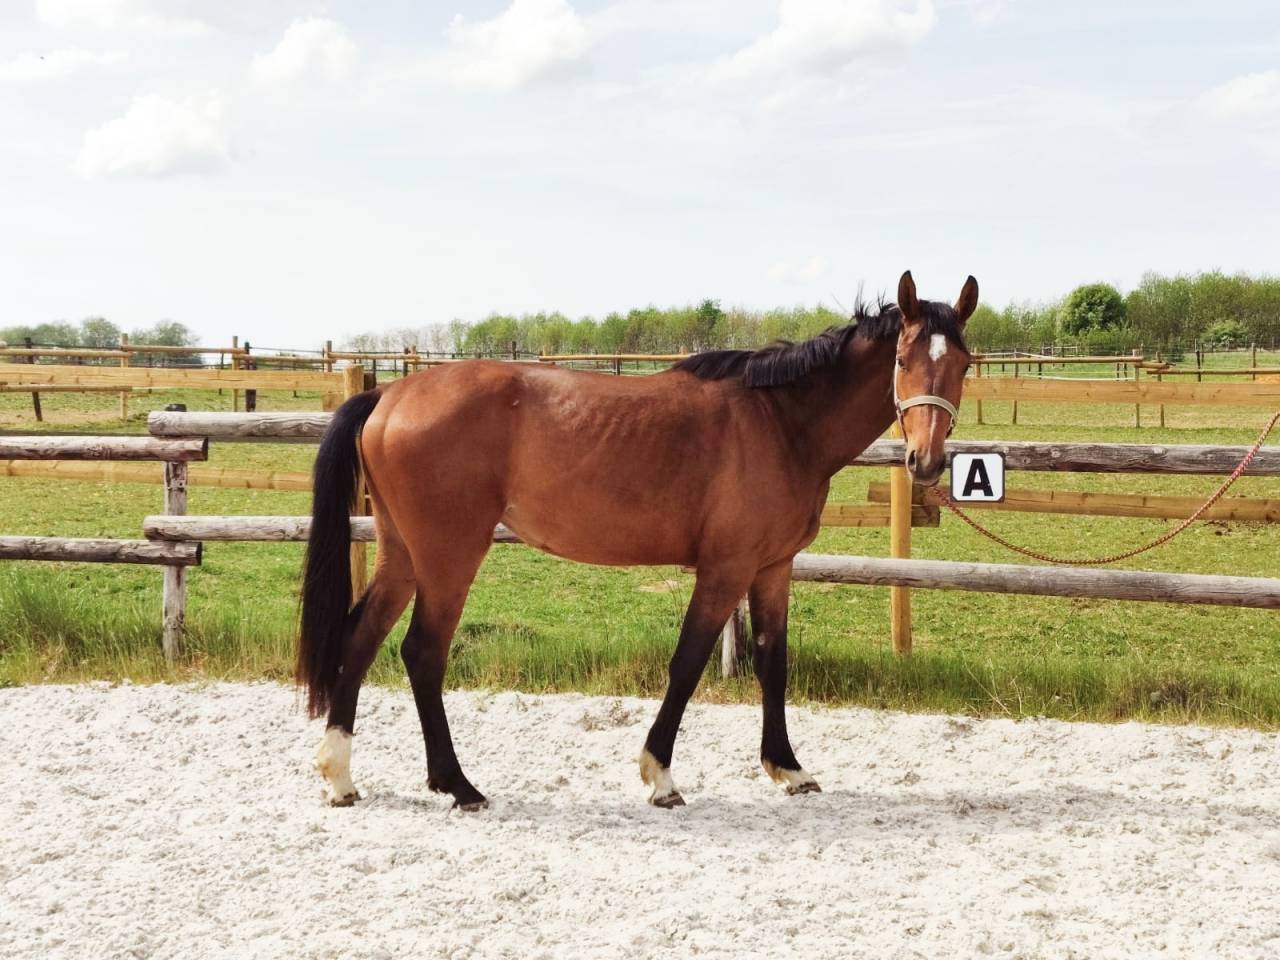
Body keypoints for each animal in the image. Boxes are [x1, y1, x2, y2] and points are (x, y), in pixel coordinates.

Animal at [298, 270, 977, 809]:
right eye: (903, 359)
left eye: (964, 364)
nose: (925, 460)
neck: (780, 422)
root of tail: (389, 393)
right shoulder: (725, 569)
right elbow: (687, 662)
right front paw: (661, 776)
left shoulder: (773, 567)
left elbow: (772, 660)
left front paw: (787, 768)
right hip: (448, 557)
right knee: (422, 653)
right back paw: (458, 785)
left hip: (403, 554)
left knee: (360, 639)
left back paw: (340, 777)